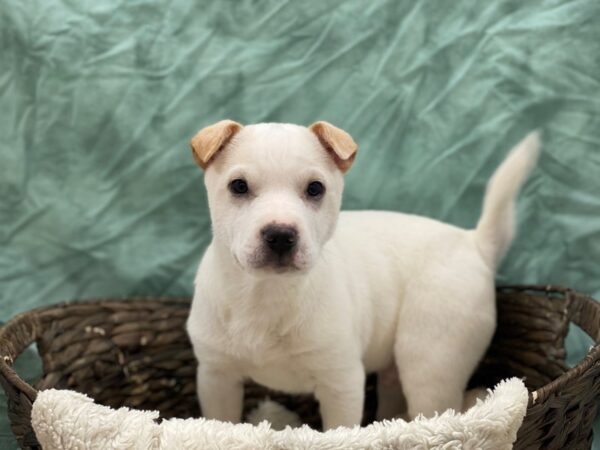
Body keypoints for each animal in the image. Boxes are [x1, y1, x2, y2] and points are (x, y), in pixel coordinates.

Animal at [184, 121, 540, 430]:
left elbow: (339, 431)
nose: (281, 235)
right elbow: (222, 423)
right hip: (397, 370)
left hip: (430, 360)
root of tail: (473, 241)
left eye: (315, 189)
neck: (267, 293)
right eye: (238, 186)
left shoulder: (342, 382)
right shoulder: (216, 378)